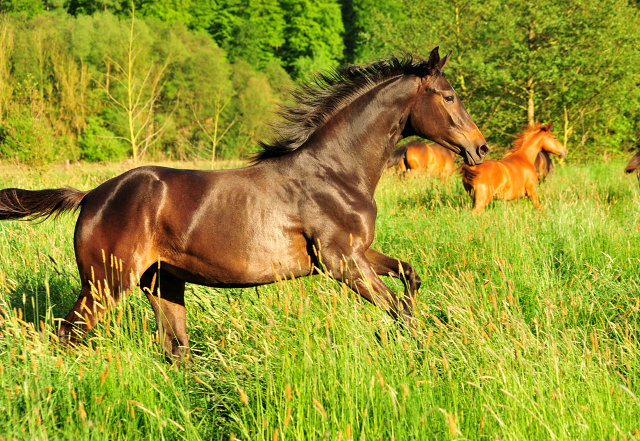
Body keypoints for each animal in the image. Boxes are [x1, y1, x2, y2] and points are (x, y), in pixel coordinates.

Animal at [0, 49, 488, 364]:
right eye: (448, 96)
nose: (480, 148)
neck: (336, 171)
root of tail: (91, 196)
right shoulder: (342, 262)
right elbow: (395, 307)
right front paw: (414, 354)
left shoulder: (360, 253)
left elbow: (410, 278)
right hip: (106, 284)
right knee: (67, 335)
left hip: (161, 284)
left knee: (175, 350)